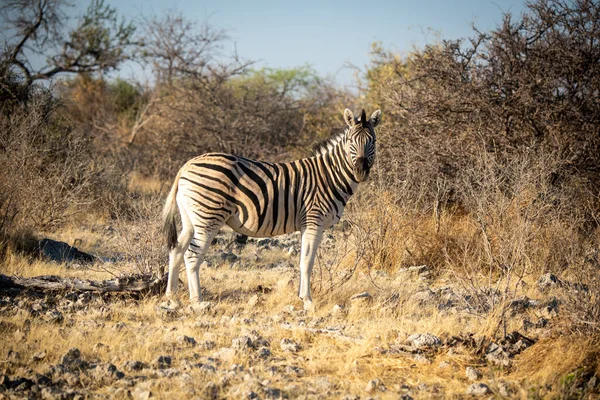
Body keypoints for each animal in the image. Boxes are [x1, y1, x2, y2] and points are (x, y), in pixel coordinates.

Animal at [162, 108, 382, 310]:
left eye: (373, 141)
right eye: (351, 141)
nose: (361, 171)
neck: (330, 176)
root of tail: (186, 165)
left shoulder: (306, 224)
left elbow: (303, 260)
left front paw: (302, 297)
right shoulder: (314, 220)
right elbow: (307, 261)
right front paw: (308, 301)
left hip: (191, 219)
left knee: (177, 250)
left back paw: (172, 296)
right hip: (208, 217)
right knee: (192, 256)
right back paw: (197, 301)